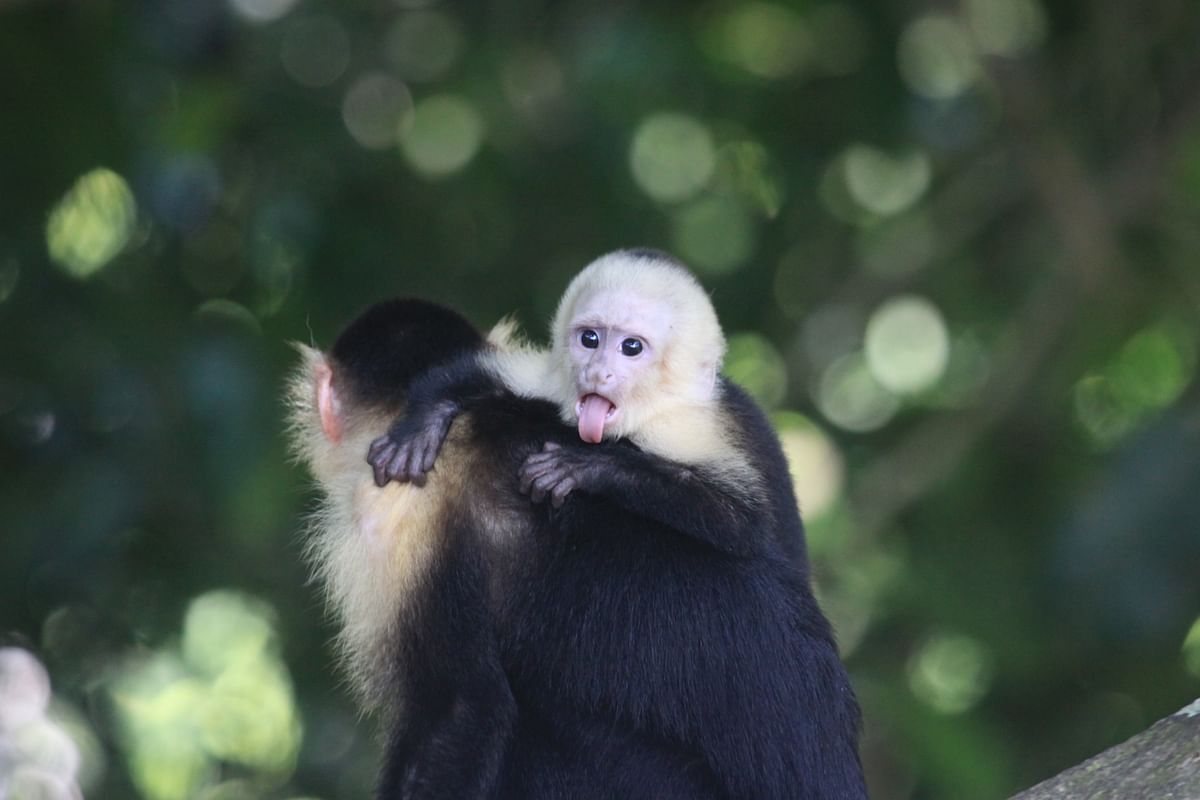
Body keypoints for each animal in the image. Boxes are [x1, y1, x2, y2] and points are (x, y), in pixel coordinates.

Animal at [367, 247, 873, 796]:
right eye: (589, 338)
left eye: (631, 348)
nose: (598, 373)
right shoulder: (555, 385)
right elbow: (481, 375)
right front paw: (426, 419)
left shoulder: (691, 426)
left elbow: (741, 522)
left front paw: (593, 467)